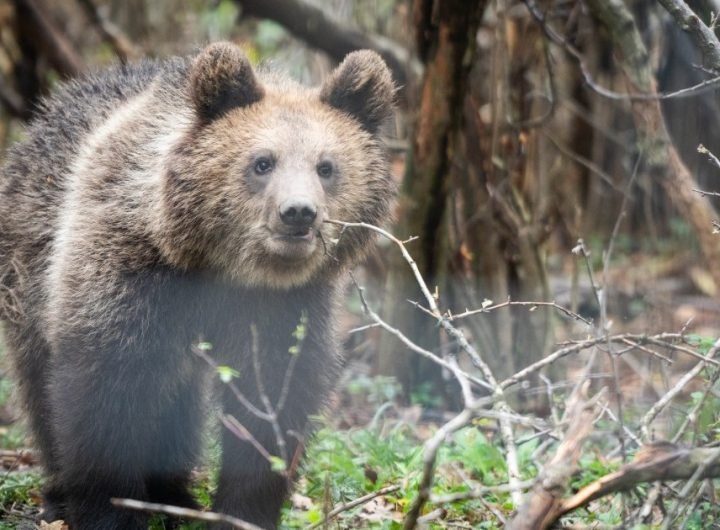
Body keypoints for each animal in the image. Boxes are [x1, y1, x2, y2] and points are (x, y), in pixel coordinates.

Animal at [0, 42, 394, 528]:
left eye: (326, 166)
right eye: (262, 162)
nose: (298, 213)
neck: (220, 266)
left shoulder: (280, 305)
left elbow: (271, 400)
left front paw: (243, 510)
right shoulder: (129, 276)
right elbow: (103, 392)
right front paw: (111, 510)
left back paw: (175, 493)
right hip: (29, 266)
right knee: (40, 381)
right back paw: (61, 492)